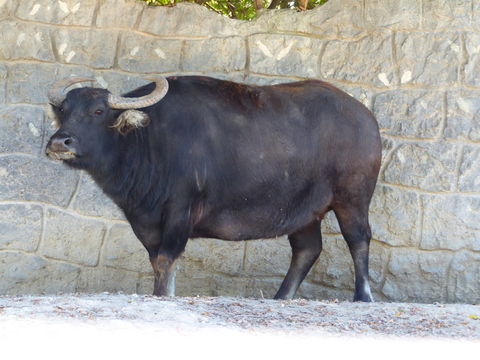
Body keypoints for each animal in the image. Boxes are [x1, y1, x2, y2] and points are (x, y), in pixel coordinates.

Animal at [46, 76, 382, 300]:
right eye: (64, 111)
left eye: (98, 111)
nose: (59, 142)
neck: (150, 138)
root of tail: (366, 118)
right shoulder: (146, 220)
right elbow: (155, 261)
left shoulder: (181, 210)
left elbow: (166, 260)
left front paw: (164, 295)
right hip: (304, 212)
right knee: (307, 249)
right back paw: (281, 297)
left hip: (352, 198)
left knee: (358, 238)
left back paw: (362, 296)